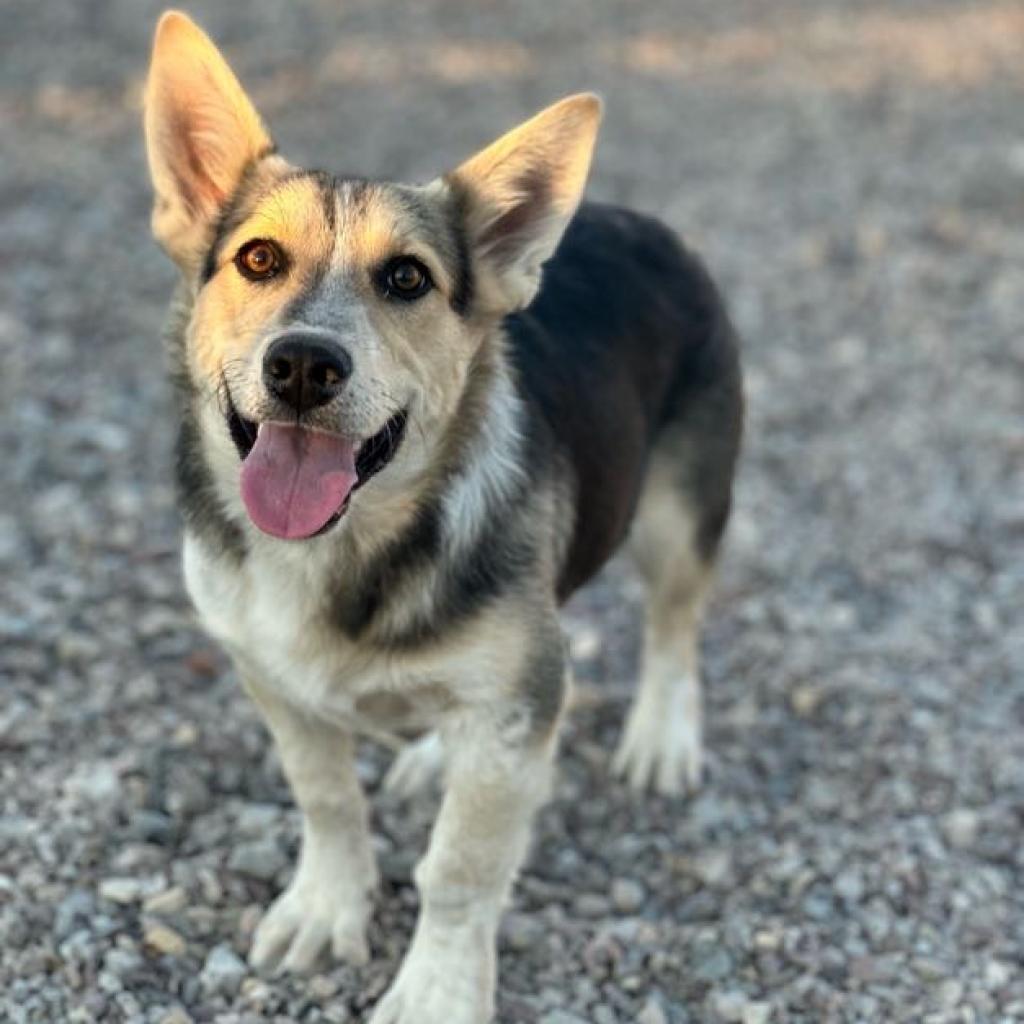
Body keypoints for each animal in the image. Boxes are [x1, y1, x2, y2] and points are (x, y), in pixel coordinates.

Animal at [140, 9, 741, 1024]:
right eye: (258, 259)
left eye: (407, 280)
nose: (304, 364)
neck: (340, 551)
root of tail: (640, 220)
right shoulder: (271, 678)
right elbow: (326, 799)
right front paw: (327, 905)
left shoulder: (514, 703)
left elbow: (460, 869)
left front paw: (438, 988)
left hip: (677, 509)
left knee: (674, 624)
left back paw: (661, 737)